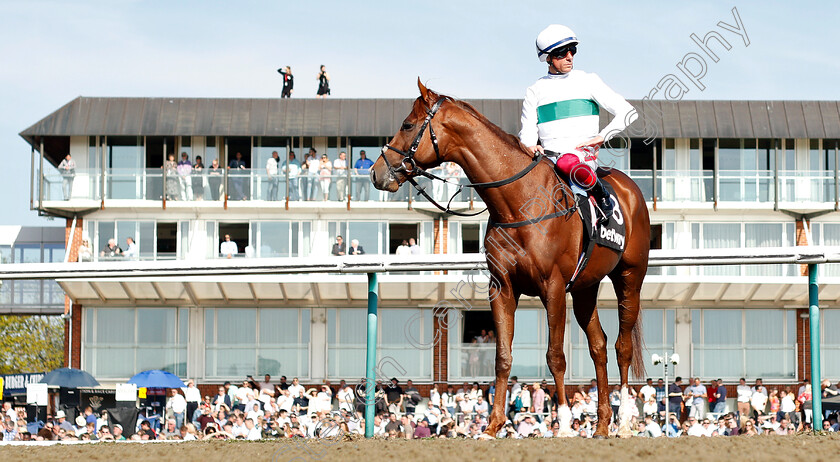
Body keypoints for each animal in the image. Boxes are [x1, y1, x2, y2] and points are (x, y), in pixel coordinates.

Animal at [370, 81, 652, 438]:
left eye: (407, 125)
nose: (376, 172)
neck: (519, 203)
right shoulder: (502, 288)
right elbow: (502, 356)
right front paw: (492, 426)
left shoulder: (553, 288)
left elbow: (555, 356)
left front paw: (562, 424)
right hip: (584, 288)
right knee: (599, 346)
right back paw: (602, 424)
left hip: (629, 278)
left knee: (622, 346)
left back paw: (625, 422)